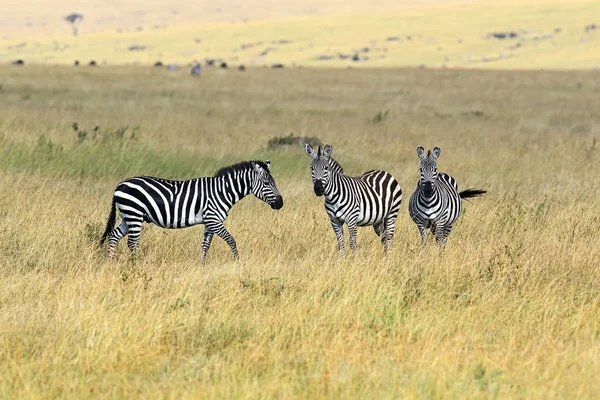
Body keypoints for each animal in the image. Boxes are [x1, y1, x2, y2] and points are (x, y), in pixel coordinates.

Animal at [99, 159, 284, 262]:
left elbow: (206, 245)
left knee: (114, 235)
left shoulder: (210, 222)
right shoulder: (213, 219)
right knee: (132, 242)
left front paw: (202, 265)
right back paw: (136, 265)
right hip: (134, 214)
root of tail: (119, 185)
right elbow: (231, 240)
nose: (280, 203)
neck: (222, 191)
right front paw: (237, 261)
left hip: (128, 216)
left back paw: (110, 263)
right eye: (267, 183)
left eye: (273, 182)